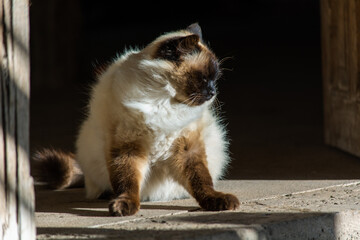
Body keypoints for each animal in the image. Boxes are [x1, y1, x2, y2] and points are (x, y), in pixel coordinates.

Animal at [32, 23, 238, 217]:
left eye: (214, 79)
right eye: (203, 78)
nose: (212, 92)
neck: (166, 101)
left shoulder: (188, 148)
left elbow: (202, 181)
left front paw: (215, 201)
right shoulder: (129, 147)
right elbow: (127, 183)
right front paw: (124, 205)